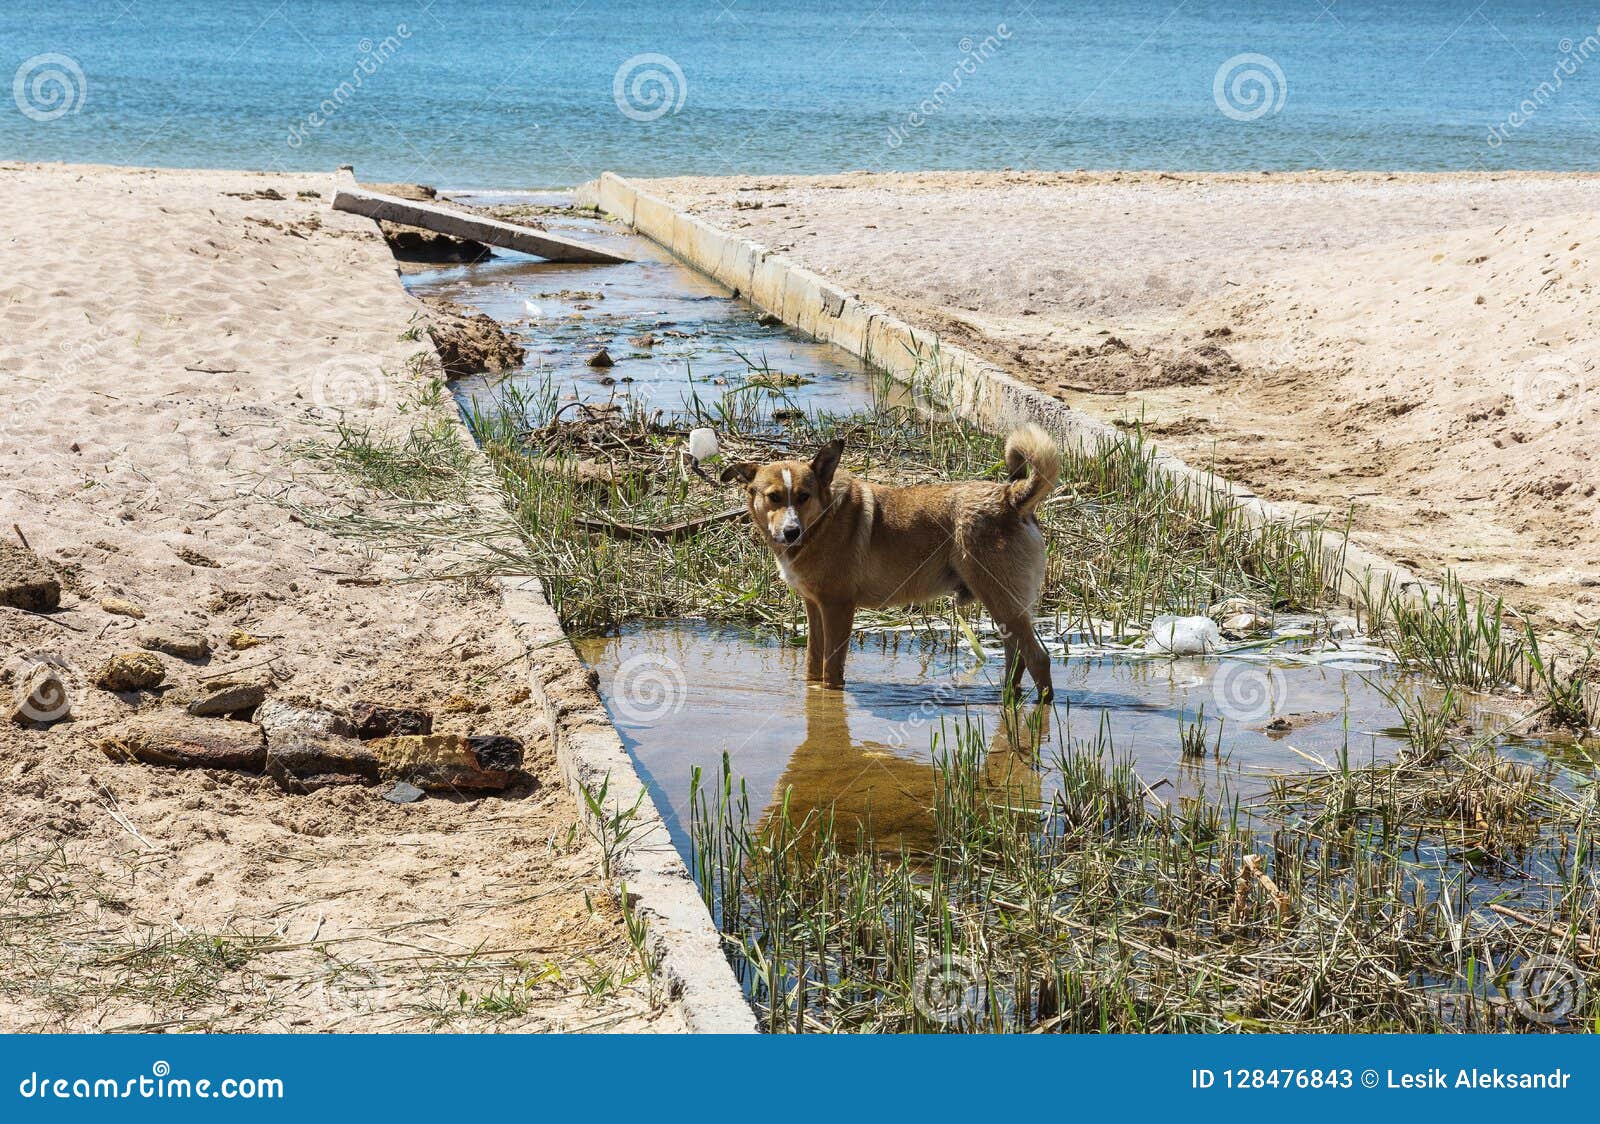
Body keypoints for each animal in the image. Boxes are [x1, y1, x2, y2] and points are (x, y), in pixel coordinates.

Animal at [726, 425, 1062, 701]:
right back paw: (1007, 701)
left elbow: (831, 672)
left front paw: (829, 700)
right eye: (774, 497)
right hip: (1005, 606)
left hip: (1001, 600)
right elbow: (813, 666)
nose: (791, 531)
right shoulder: (815, 607)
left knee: (1038, 659)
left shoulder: (837, 608)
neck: (823, 520)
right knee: (1016, 658)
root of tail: (1011, 497)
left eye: (803, 496)